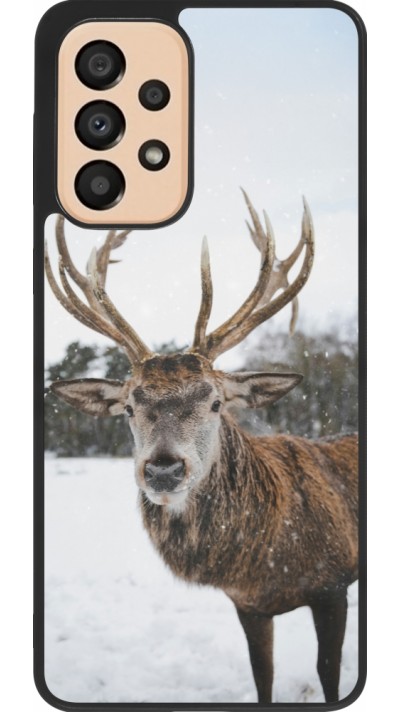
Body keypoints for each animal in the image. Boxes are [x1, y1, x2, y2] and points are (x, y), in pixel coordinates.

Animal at [45, 191, 358, 704]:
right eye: (129, 406)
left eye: (215, 402)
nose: (163, 470)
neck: (265, 561)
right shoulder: (248, 605)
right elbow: (263, 676)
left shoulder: (333, 584)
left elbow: (328, 674)